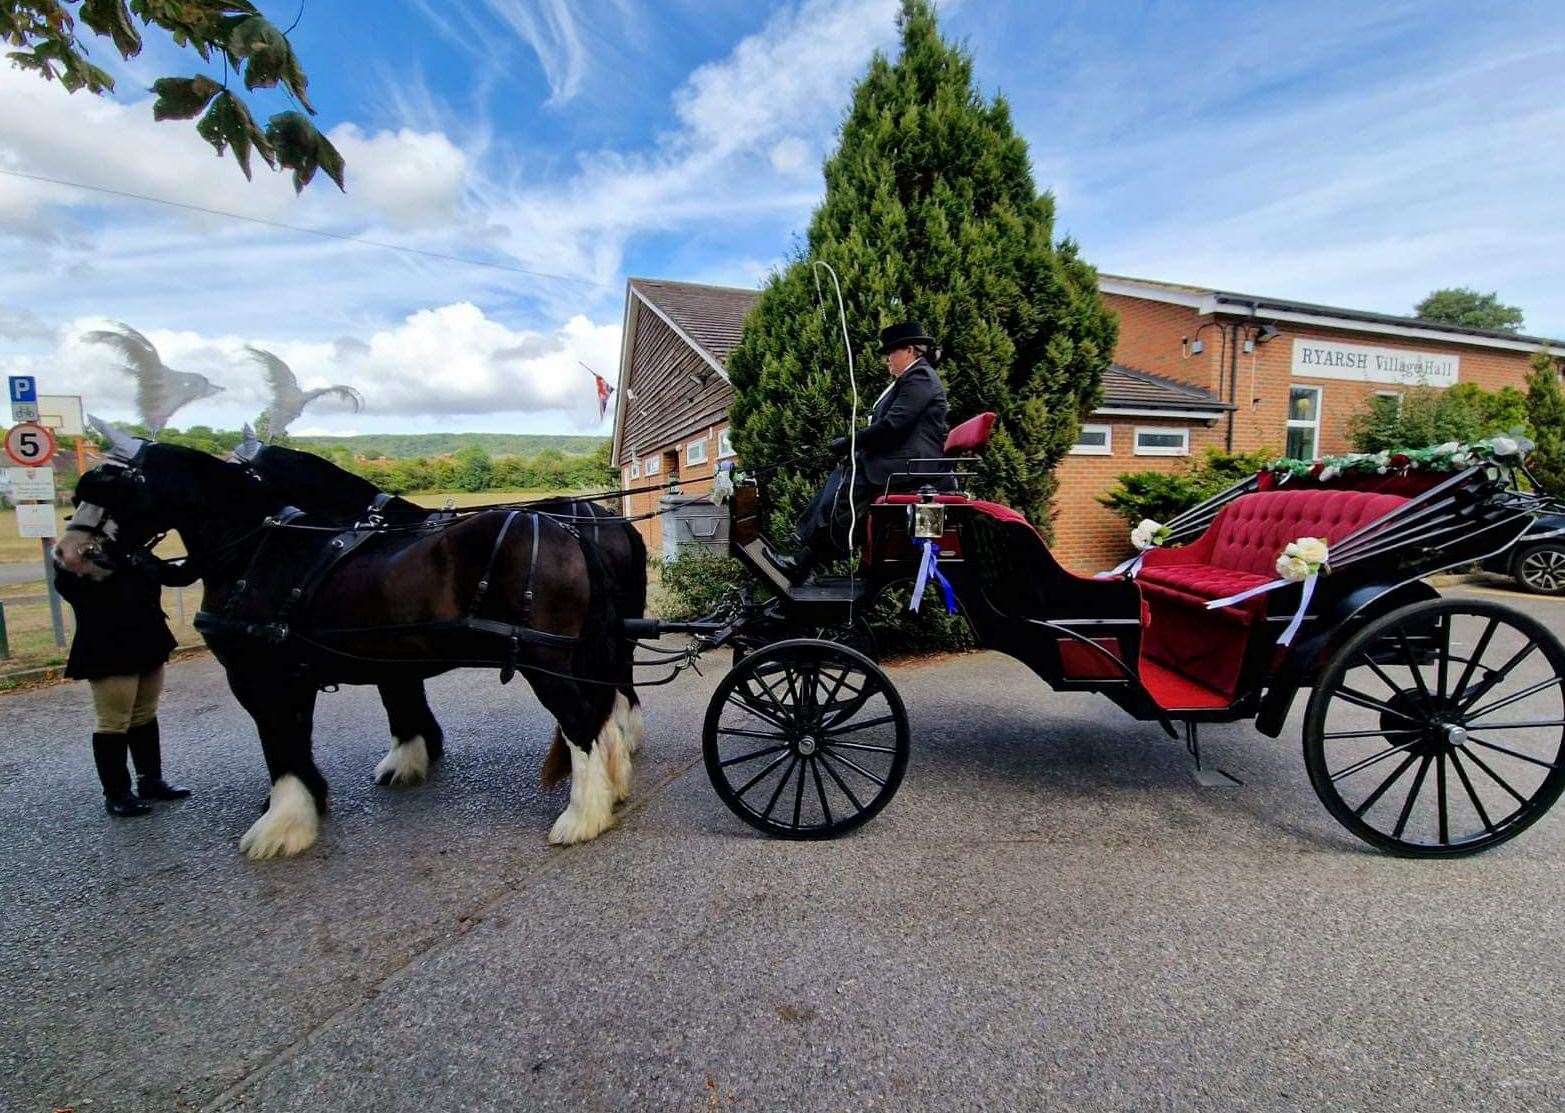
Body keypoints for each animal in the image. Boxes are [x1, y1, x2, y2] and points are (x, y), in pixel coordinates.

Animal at [56, 428, 635, 864]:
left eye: (113, 486)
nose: (68, 556)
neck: (260, 549)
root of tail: (570, 530)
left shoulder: (261, 674)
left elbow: (282, 745)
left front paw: (282, 821)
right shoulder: (345, 664)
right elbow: (341, 723)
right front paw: (371, 773)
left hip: (545, 658)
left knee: (582, 723)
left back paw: (582, 816)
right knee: (601, 713)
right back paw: (613, 786)